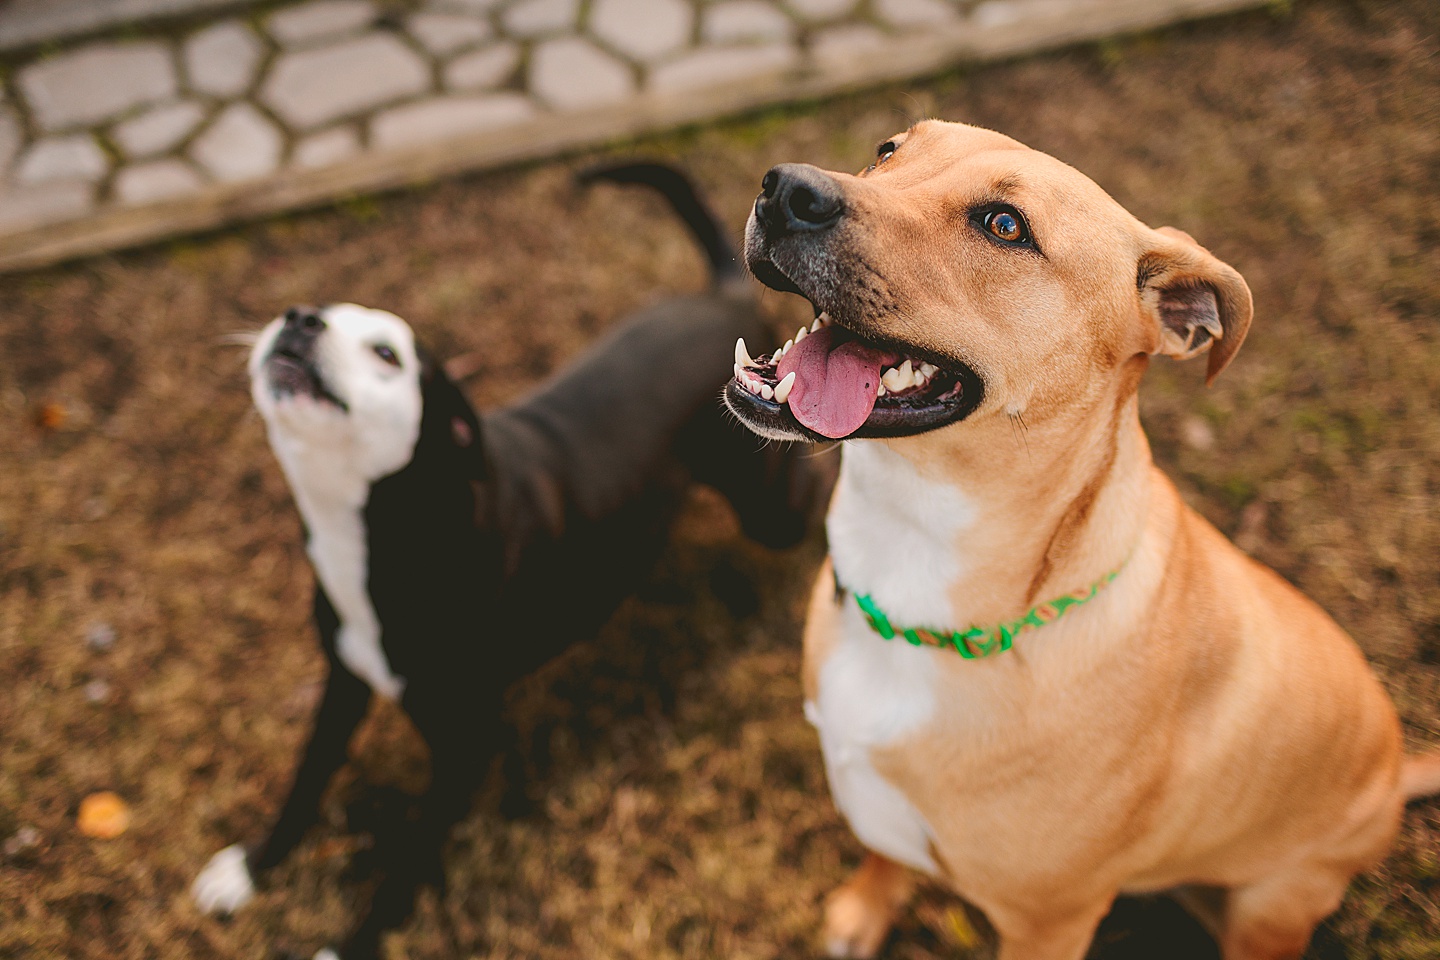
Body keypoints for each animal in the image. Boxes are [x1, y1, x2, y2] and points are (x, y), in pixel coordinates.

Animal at [191, 166, 835, 960]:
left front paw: (353, 944)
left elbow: (408, 860)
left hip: (769, 512)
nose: (300, 318)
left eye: (387, 356)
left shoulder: (462, 748)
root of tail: (723, 298)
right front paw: (252, 868)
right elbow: (304, 784)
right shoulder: (342, 685)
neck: (383, 524)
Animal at [731, 118, 1440, 960]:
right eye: (888, 150)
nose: (786, 188)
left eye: (1005, 226)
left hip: (1271, 904)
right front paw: (864, 910)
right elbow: (883, 851)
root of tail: (1395, 775)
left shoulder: (1049, 922)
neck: (917, 551)